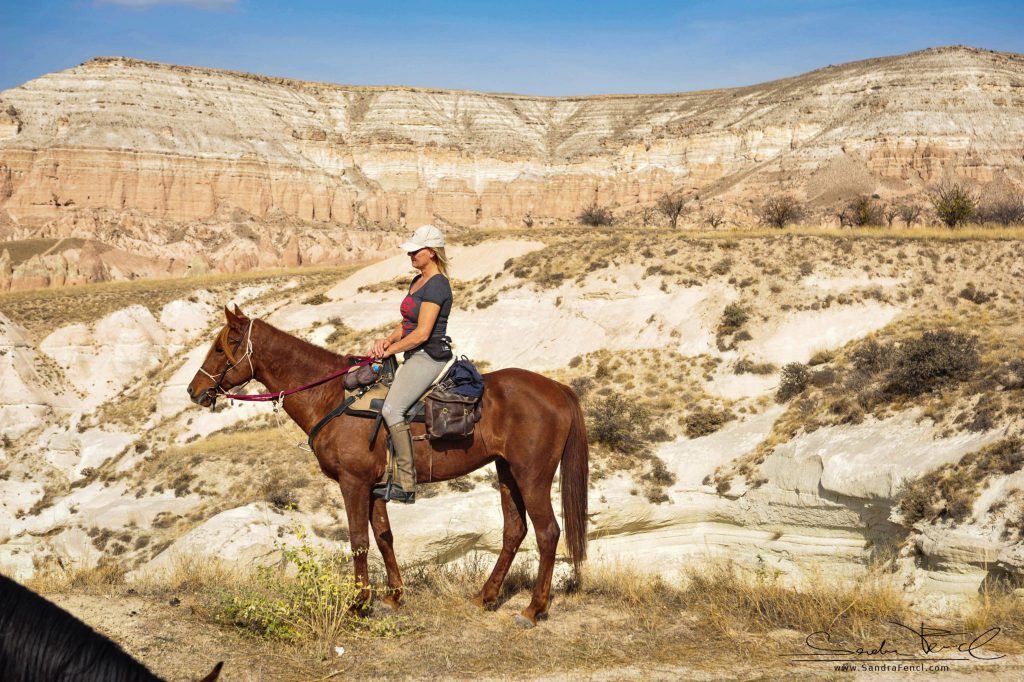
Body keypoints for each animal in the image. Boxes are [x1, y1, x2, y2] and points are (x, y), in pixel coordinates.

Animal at [187, 305, 589, 622]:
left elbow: (358, 541)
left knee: (548, 533)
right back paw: (485, 596)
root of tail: (558, 389)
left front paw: (357, 603)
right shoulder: (376, 485)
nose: (194, 391)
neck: (333, 396)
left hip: (532, 476)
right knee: (514, 531)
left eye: (222, 346)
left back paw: (533, 609)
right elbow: (383, 536)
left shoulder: (353, 482)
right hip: (507, 473)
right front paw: (393, 596)